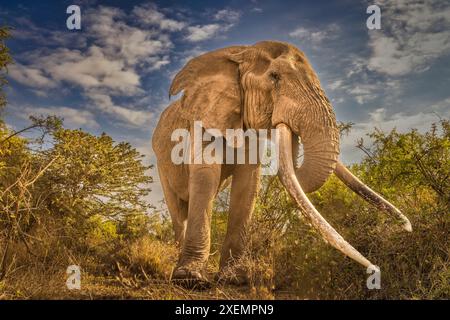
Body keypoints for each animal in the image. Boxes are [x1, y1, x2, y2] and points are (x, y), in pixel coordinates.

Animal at [152, 40, 412, 288]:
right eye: (274, 77)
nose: (407, 228)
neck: (240, 53)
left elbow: (248, 183)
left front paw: (235, 278)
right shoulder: (204, 117)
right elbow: (206, 173)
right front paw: (190, 280)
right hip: (161, 162)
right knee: (178, 209)